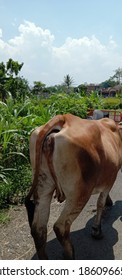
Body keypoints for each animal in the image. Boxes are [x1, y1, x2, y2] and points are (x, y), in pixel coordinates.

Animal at [25, 114, 122, 260]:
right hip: (79, 193)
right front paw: (97, 230)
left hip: (43, 187)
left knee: (38, 228)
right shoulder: (110, 180)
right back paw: (69, 253)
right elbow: (100, 203)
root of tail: (64, 118)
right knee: (60, 226)